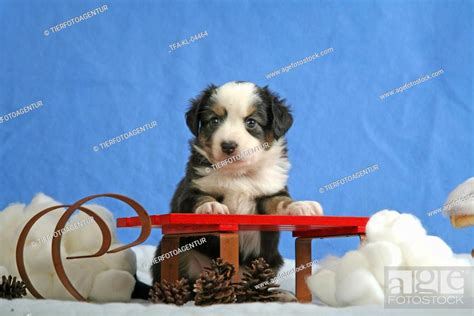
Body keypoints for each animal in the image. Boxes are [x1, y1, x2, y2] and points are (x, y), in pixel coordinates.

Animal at [150, 81, 324, 292]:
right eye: (214, 121)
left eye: (251, 122)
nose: (228, 146)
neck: (238, 175)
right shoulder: (190, 190)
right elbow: (201, 198)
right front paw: (212, 207)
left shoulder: (270, 191)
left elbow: (282, 201)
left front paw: (302, 206)